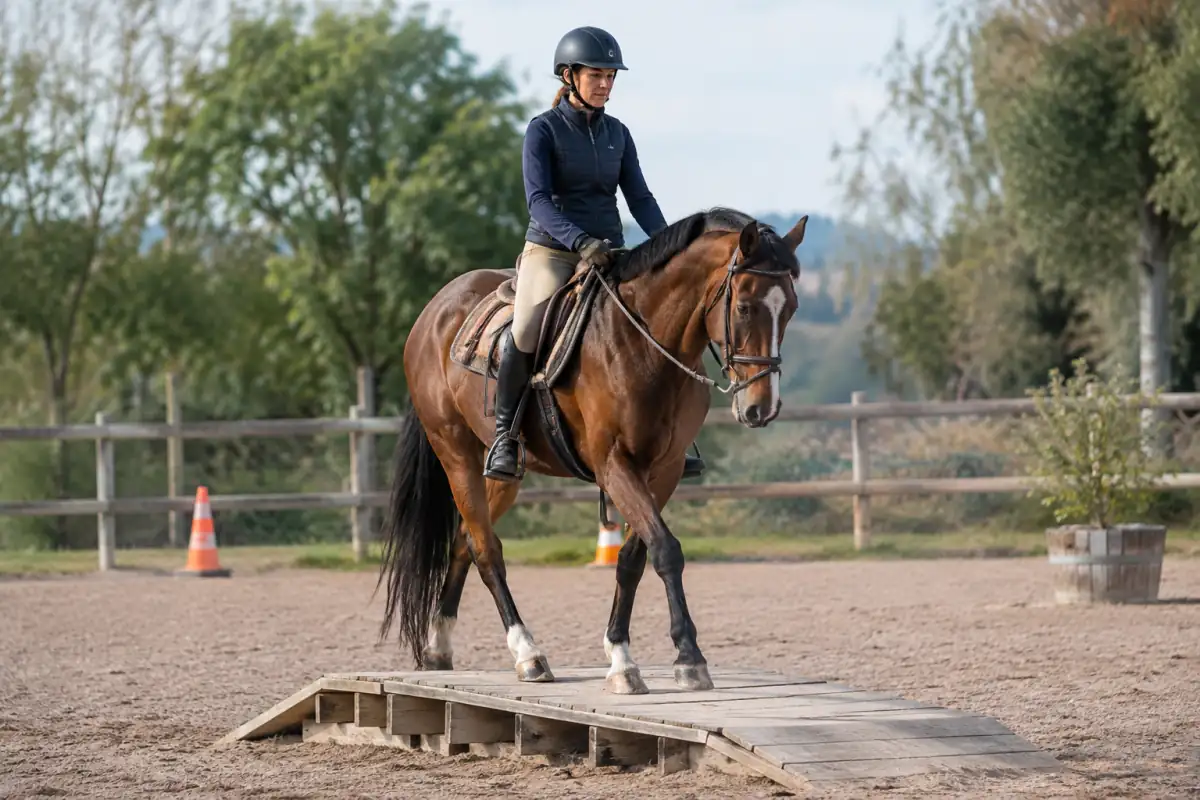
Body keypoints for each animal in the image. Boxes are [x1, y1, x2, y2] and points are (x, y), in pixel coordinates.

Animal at [374, 206, 807, 694]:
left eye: (791, 308)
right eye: (745, 306)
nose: (761, 408)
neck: (643, 341)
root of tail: (433, 311)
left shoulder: (665, 469)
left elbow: (634, 558)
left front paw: (620, 655)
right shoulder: (614, 464)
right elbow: (666, 549)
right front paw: (687, 658)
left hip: (502, 473)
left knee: (465, 539)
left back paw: (438, 647)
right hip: (456, 455)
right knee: (486, 550)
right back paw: (528, 654)